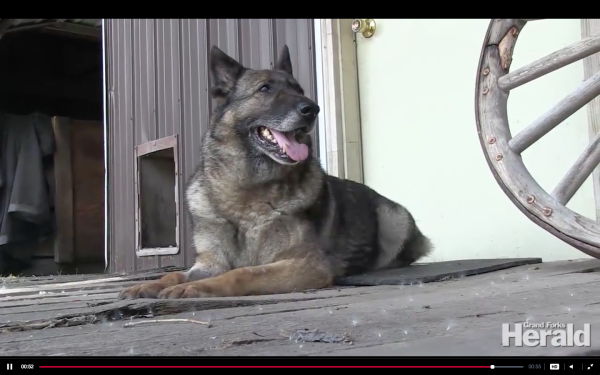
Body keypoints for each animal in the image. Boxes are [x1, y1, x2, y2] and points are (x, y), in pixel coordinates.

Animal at [119, 45, 432, 302]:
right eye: (265, 89)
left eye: (299, 89)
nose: (312, 109)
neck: (245, 192)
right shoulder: (209, 263)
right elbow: (175, 274)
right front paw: (154, 284)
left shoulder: (305, 265)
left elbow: (241, 273)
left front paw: (193, 288)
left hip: (394, 218)